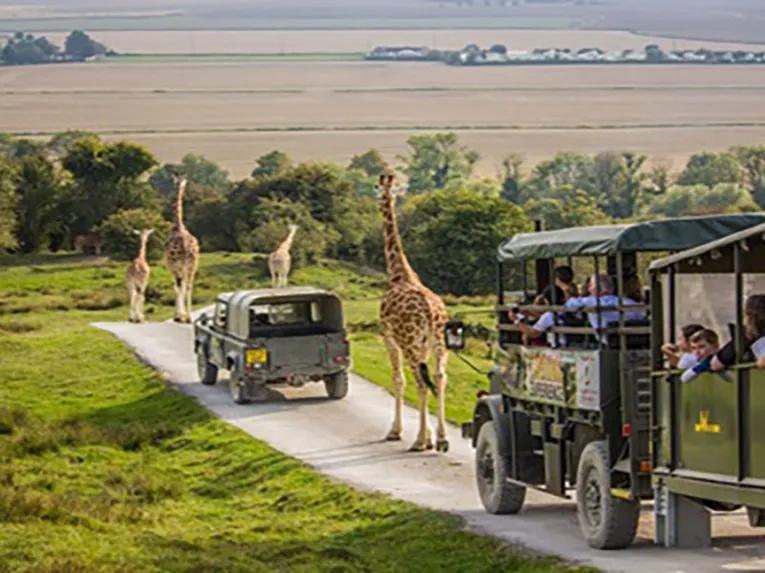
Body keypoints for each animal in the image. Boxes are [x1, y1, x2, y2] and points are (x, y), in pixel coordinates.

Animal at [378, 172, 450, 453]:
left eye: (376, 188)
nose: (379, 201)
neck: (399, 275)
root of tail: (430, 311)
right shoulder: (425, 344)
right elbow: (426, 378)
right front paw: (430, 436)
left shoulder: (389, 338)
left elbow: (398, 380)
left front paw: (396, 432)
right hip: (440, 342)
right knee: (439, 378)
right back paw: (442, 439)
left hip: (408, 341)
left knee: (420, 382)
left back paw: (419, 442)